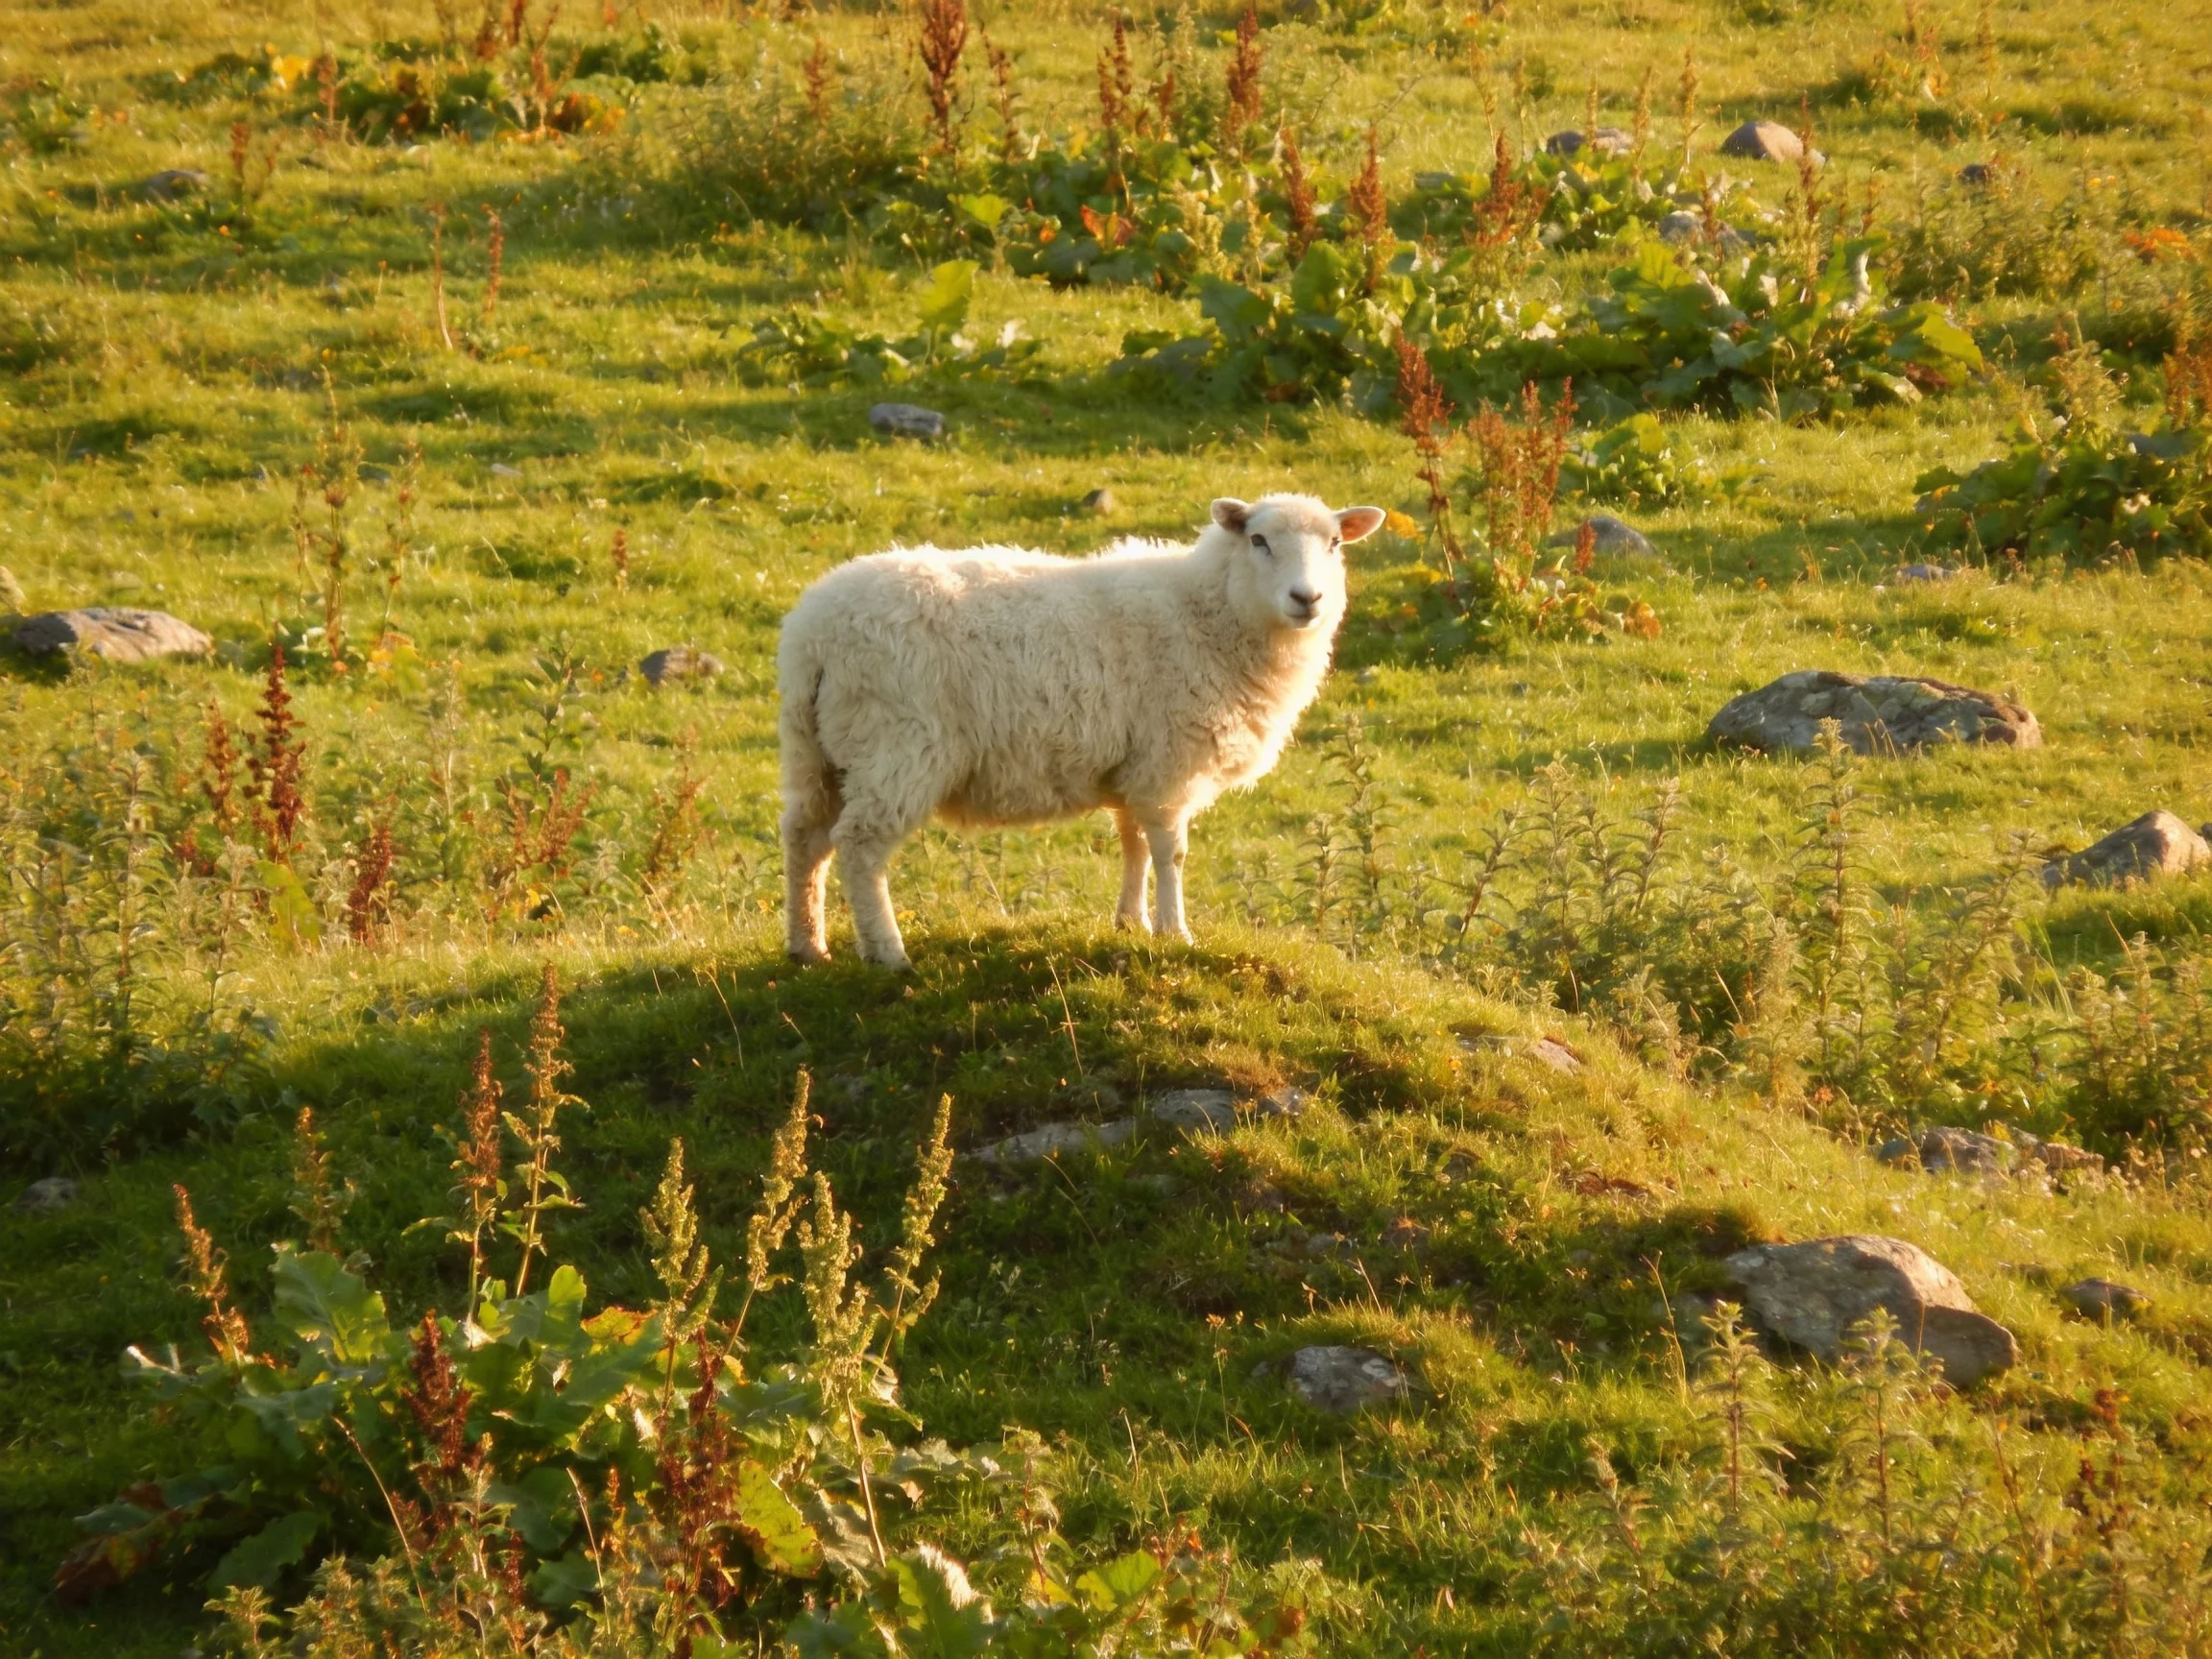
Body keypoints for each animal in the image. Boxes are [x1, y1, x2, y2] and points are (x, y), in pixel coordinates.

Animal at [778, 492, 1385, 968]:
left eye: (1335, 543)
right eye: (1258, 540)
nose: (1307, 599)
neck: (1210, 612)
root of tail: (813, 634)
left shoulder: (1138, 767)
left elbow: (1133, 844)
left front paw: (1131, 923)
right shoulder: (1169, 762)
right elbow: (1171, 853)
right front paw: (1176, 933)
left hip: (817, 752)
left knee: (805, 838)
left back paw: (808, 945)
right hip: (896, 746)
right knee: (859, 845)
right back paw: (887, 951)